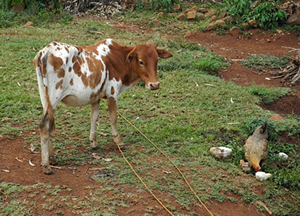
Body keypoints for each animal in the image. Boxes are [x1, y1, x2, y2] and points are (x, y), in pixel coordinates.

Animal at [33, 38, 172, 174]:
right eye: (141, 61)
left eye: (157, 59)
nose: (154, 85)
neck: (120, 58)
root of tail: (45, 51)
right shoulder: (113, 93)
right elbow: (113, 118)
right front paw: (119, 142)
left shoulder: (96, 96)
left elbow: (94, 117)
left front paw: (93, 142)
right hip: (54, 97)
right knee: (45, 125)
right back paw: (46, 166)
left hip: (45, 99)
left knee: (48, 125)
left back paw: (52, 158)